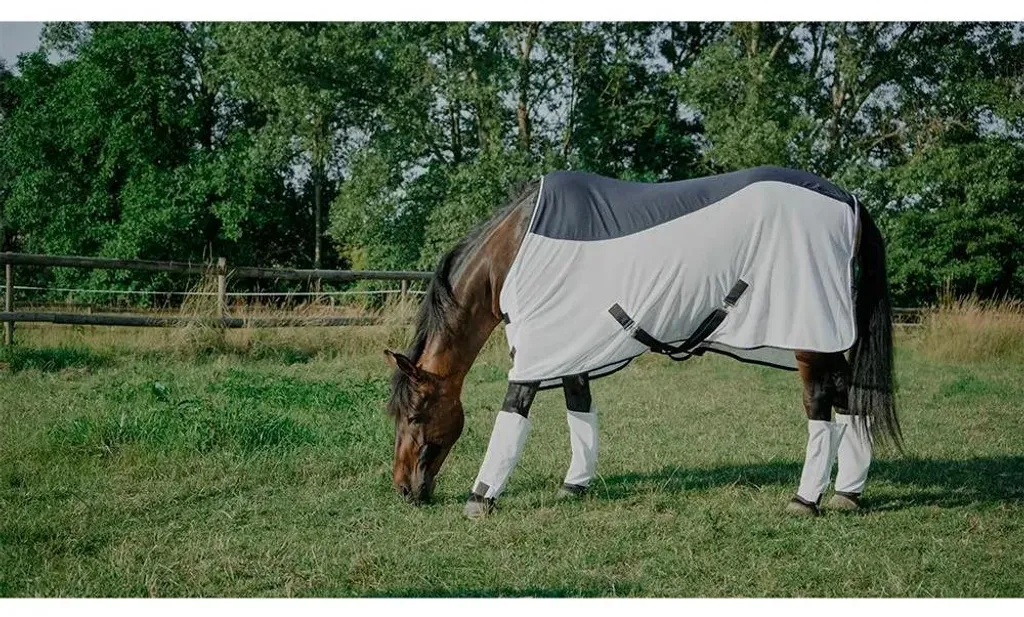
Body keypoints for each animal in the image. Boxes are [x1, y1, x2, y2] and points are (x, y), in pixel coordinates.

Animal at [385, 166, 901, 519]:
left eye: (416, 415)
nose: (404, 489)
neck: (515, 251)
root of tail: (848, 200)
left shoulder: (538, 350)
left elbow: (513, 413)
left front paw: (481, 497)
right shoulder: (572, 347)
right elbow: (580, 411)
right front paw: (575, 486)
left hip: (810, 339)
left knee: (820, 406)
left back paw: (805, 499)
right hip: (827, 344)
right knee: (851, 401)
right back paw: (847, 493)